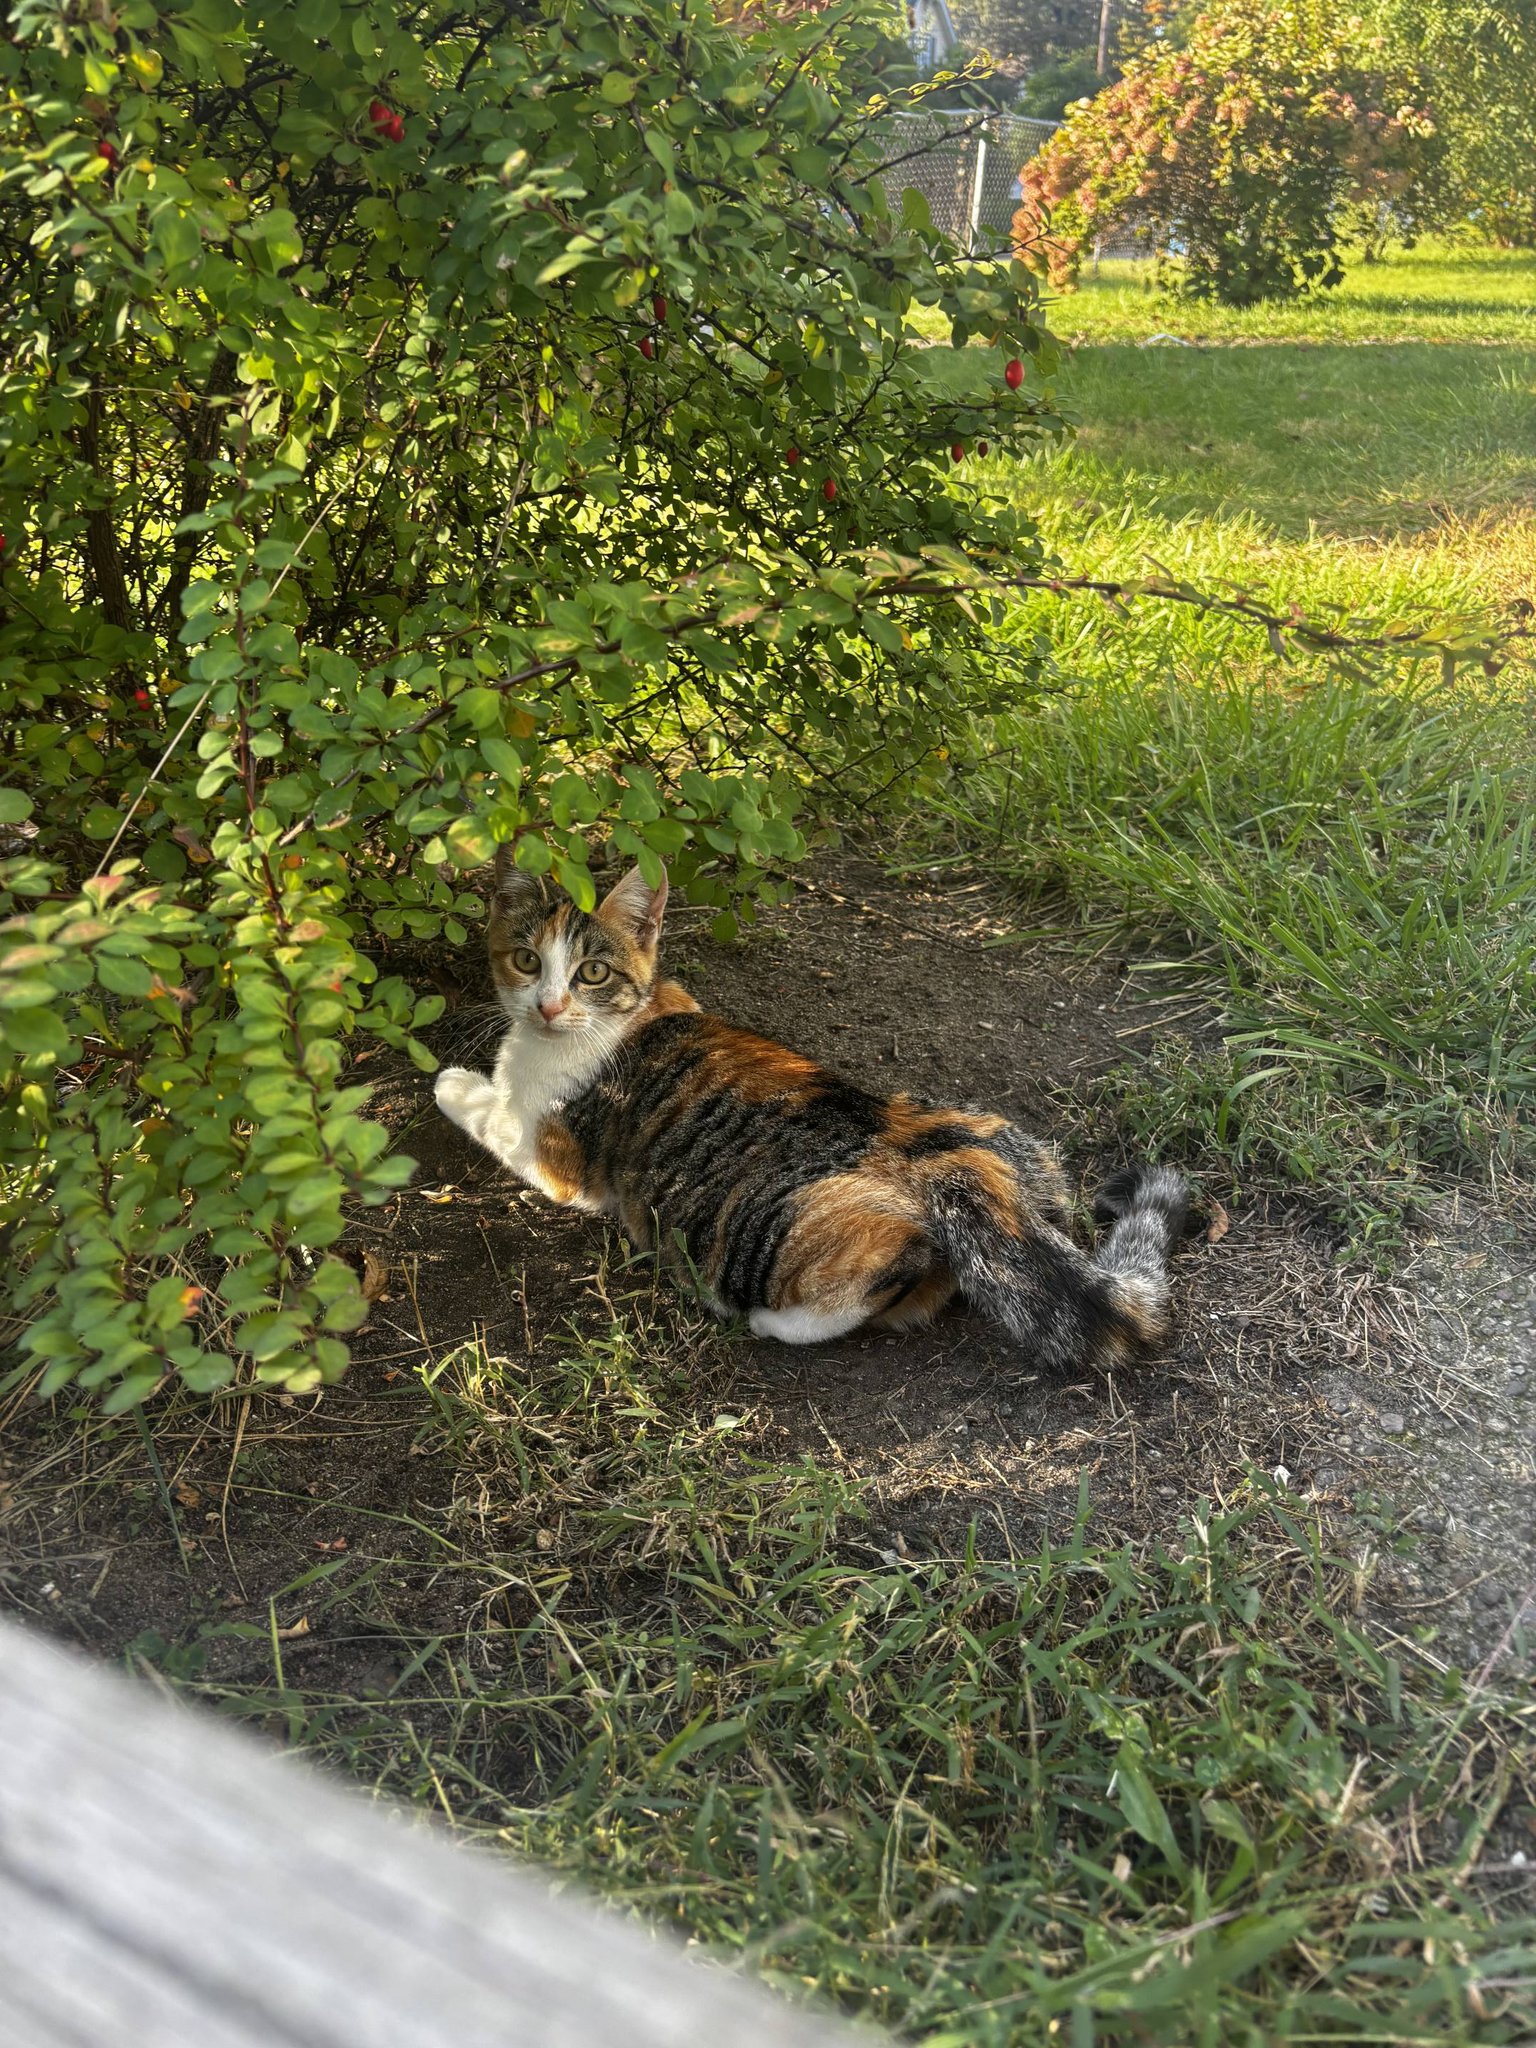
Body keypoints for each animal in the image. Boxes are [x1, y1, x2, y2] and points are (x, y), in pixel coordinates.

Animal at [434, 848, 1189, 1365]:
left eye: (591, 972)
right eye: (526, 961)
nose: (548, 1005)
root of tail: (941, 1153)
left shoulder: (558, 1158)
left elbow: (493, 1116)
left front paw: (453, 1083)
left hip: (770, 1233)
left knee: (883, 1272)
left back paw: (773, 1321)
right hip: (1008, 1138)